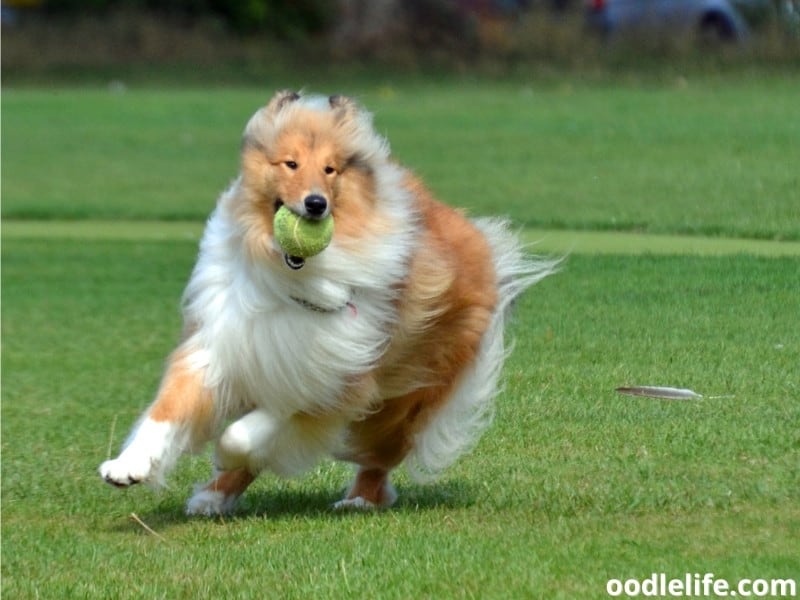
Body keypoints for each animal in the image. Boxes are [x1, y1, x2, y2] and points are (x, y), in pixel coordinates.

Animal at [98, 90, 556, 516]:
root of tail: (479, 237)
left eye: (330, 169)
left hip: (403, 399)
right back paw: (213, 498)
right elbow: (167, 410)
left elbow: (246, 433)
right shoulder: (223, 343)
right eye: (290, 163)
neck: (288, 274)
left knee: (378, 458)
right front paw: (128, 466)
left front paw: (223, 453)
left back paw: (360, 500)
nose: (316, 204)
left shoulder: (332, 377)